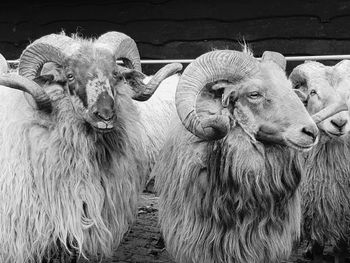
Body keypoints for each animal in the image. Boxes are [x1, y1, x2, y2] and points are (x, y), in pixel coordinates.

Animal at [292, 59, 350, 263]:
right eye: (313, 92)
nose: (339, 123)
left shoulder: (343, 211)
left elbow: (341, 246)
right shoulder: (313, 208)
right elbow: (317, 244)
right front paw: (314, 251)